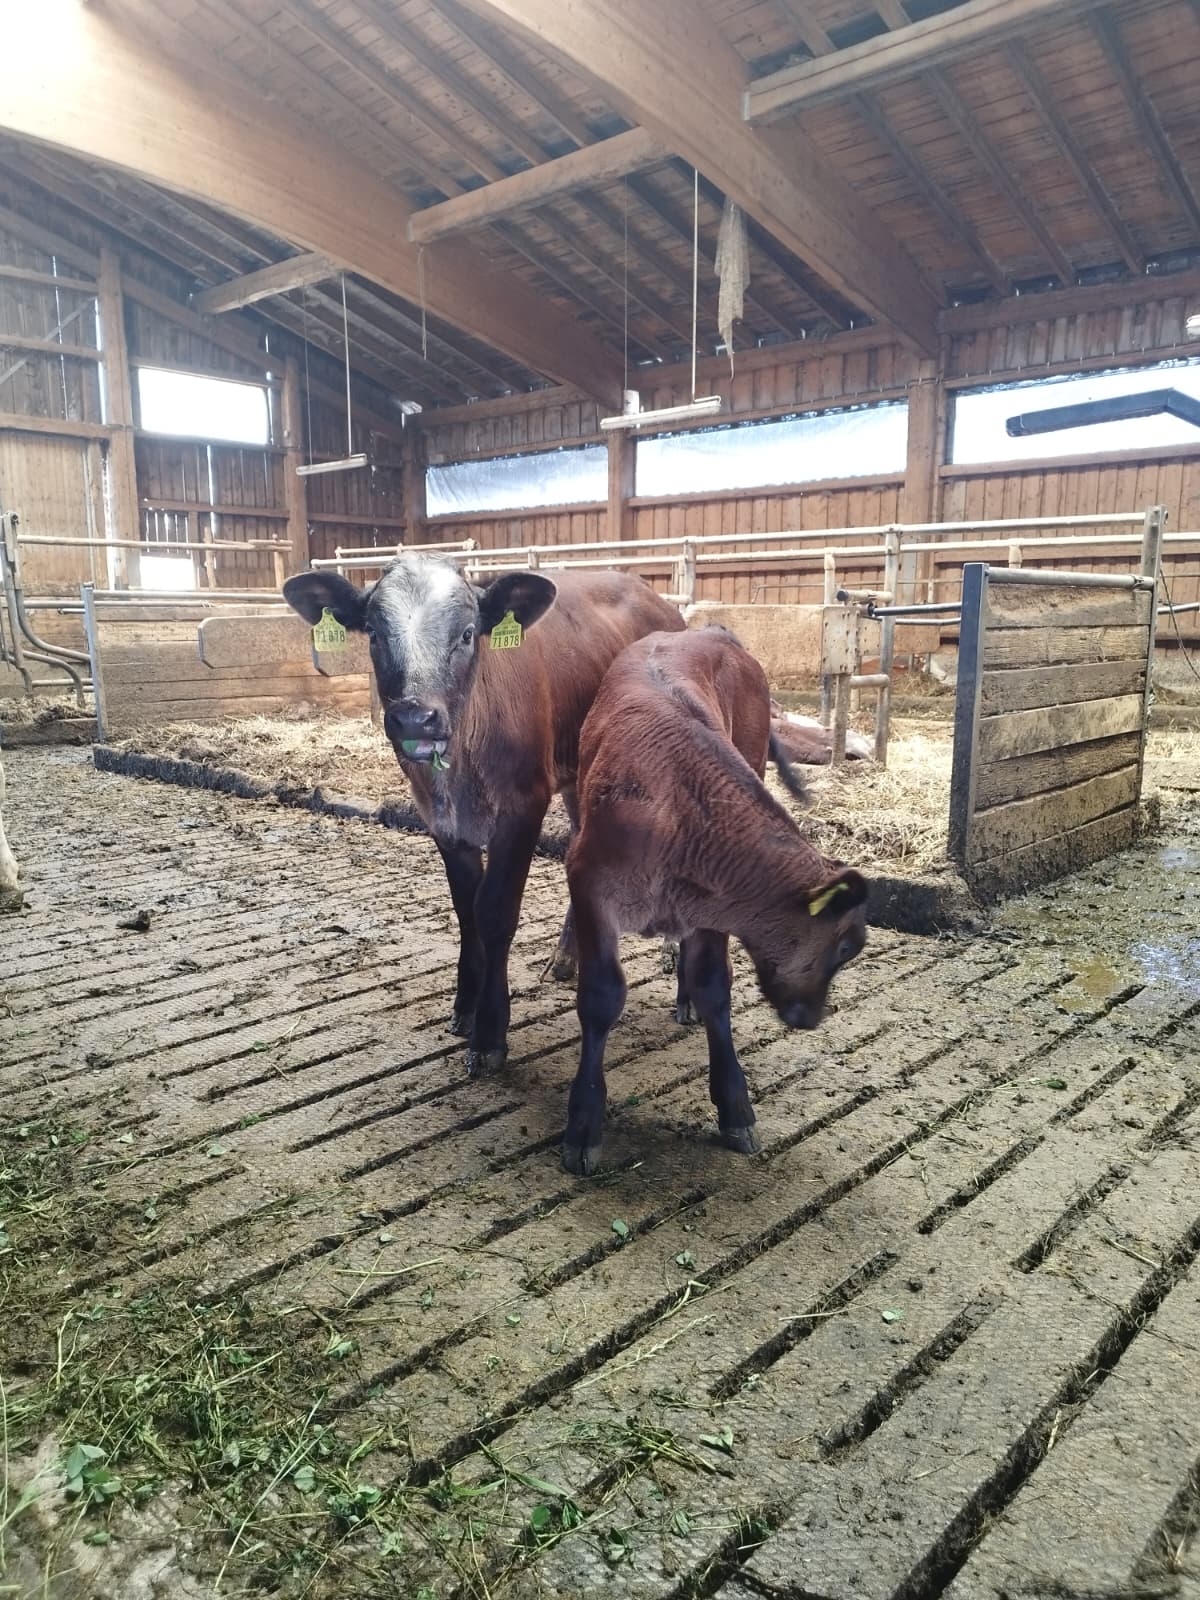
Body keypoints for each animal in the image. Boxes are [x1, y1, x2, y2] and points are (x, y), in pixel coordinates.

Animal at [283, 555, 684, 1076]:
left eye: (468, 633)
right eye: (372, 632)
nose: (415, 718)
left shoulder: (523, 806)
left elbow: (494, 912)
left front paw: (491, 1032)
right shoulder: (441, 819)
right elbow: (466, 911)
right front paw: (465, 1009)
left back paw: (671, 954)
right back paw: (567, 958)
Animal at [561, 626, 868, 1176]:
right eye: (846, 946)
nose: (812, 1017)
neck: (678, 805)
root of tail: (705, 630)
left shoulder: (713, 910)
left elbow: (714, 988)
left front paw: (735, 1108)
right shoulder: (590, 884)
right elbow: (601, 997)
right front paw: (584, 1124)